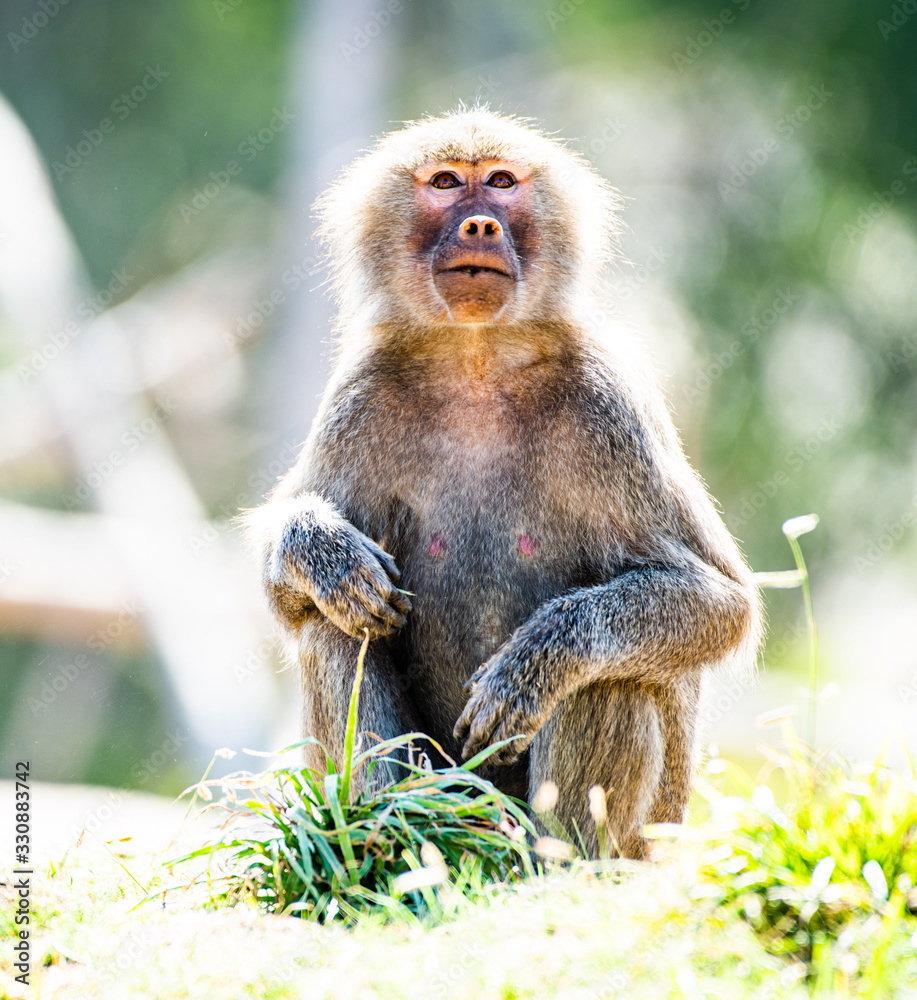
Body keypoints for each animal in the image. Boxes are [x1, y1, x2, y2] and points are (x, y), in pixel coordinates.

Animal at [246, 108, 762, 859]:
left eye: (500, 182)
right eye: (444, 183)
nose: (480, 226)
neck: (477, 356)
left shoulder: (610, 407)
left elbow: (721, 603)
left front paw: (532, 666)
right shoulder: (360, 397)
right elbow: (292, 603)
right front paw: (323, 552)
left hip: (637, 834)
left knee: (612, 676)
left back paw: (558, 857)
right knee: (335, 627)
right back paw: (387, 825)